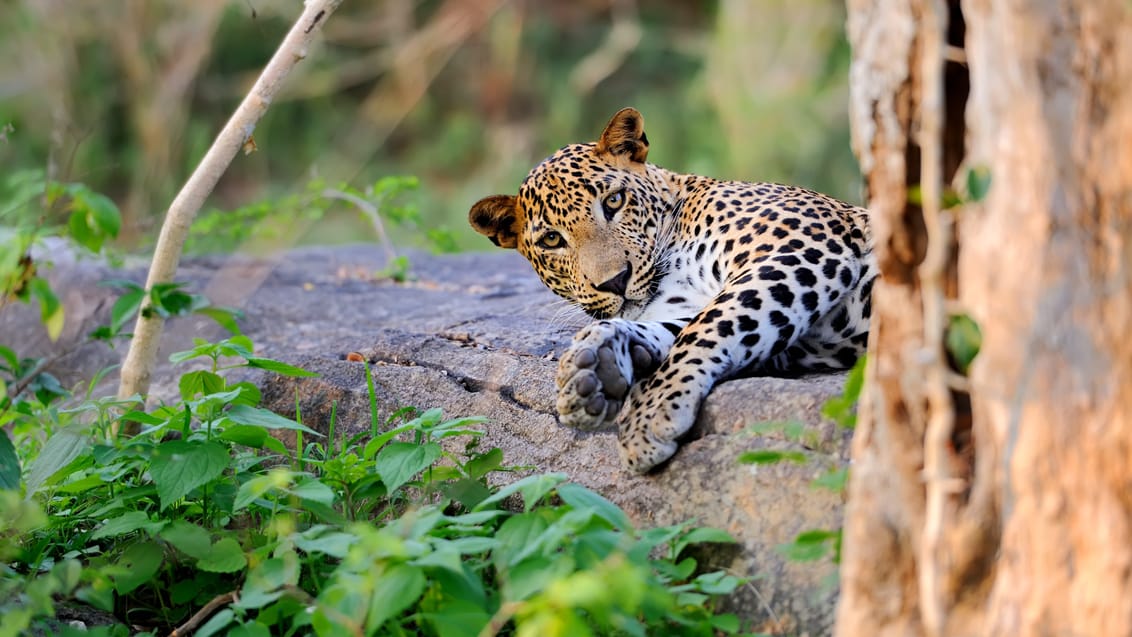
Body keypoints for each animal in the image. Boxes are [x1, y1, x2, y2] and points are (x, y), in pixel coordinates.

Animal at [468, 106, 873, 472]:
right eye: (552, 239)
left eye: (614, 201)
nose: (615, 280)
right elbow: (682, 328)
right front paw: (596, 365)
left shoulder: (797, 247)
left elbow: (709, 326)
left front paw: (649, 414)